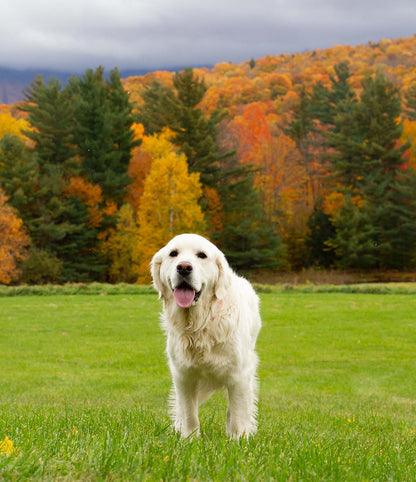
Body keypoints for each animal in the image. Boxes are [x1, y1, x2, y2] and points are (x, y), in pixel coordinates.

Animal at [150, 232, 260, 438]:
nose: (184, 267)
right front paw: (189, 439)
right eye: (173, 253)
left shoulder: (239, 375)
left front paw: (238, 440)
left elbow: (238, 414)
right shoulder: (183, 375)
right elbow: (189, 413)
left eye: (202, 255)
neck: (199, 325)